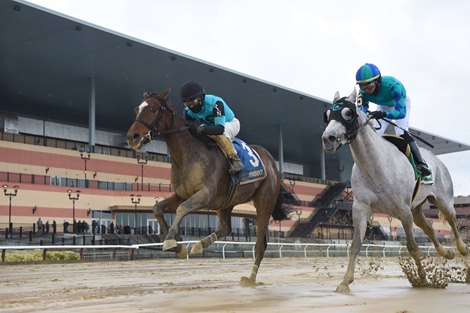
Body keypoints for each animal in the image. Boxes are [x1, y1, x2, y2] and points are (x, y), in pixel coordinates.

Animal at [126, 88, 286, 286]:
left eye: (154, 109)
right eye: (137, 109)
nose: (132, 137)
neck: (188, 156)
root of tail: (272, 163)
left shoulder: (205, 194)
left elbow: (181, 208)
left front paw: (171, 240)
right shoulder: (181, 194)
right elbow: (157, 208)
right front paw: (178, 247)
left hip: (264, 202)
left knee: (260, 245)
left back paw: (250, 278)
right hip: (225, 203)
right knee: (226, 228)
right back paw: (198, 245)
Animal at [322, 89, 468, 292]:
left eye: (348, 113)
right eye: (327, 115)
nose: (328, 139)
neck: (375, 166)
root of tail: (438, 161)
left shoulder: (403, 211)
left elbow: (413, 247)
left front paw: (423, 279)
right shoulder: (361, 208)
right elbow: (355, 245)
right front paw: (345, 282)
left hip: (443, 201)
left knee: (454, 225)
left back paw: (462, 254)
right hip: (417, 209)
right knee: (429, 227)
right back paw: (446, 253)